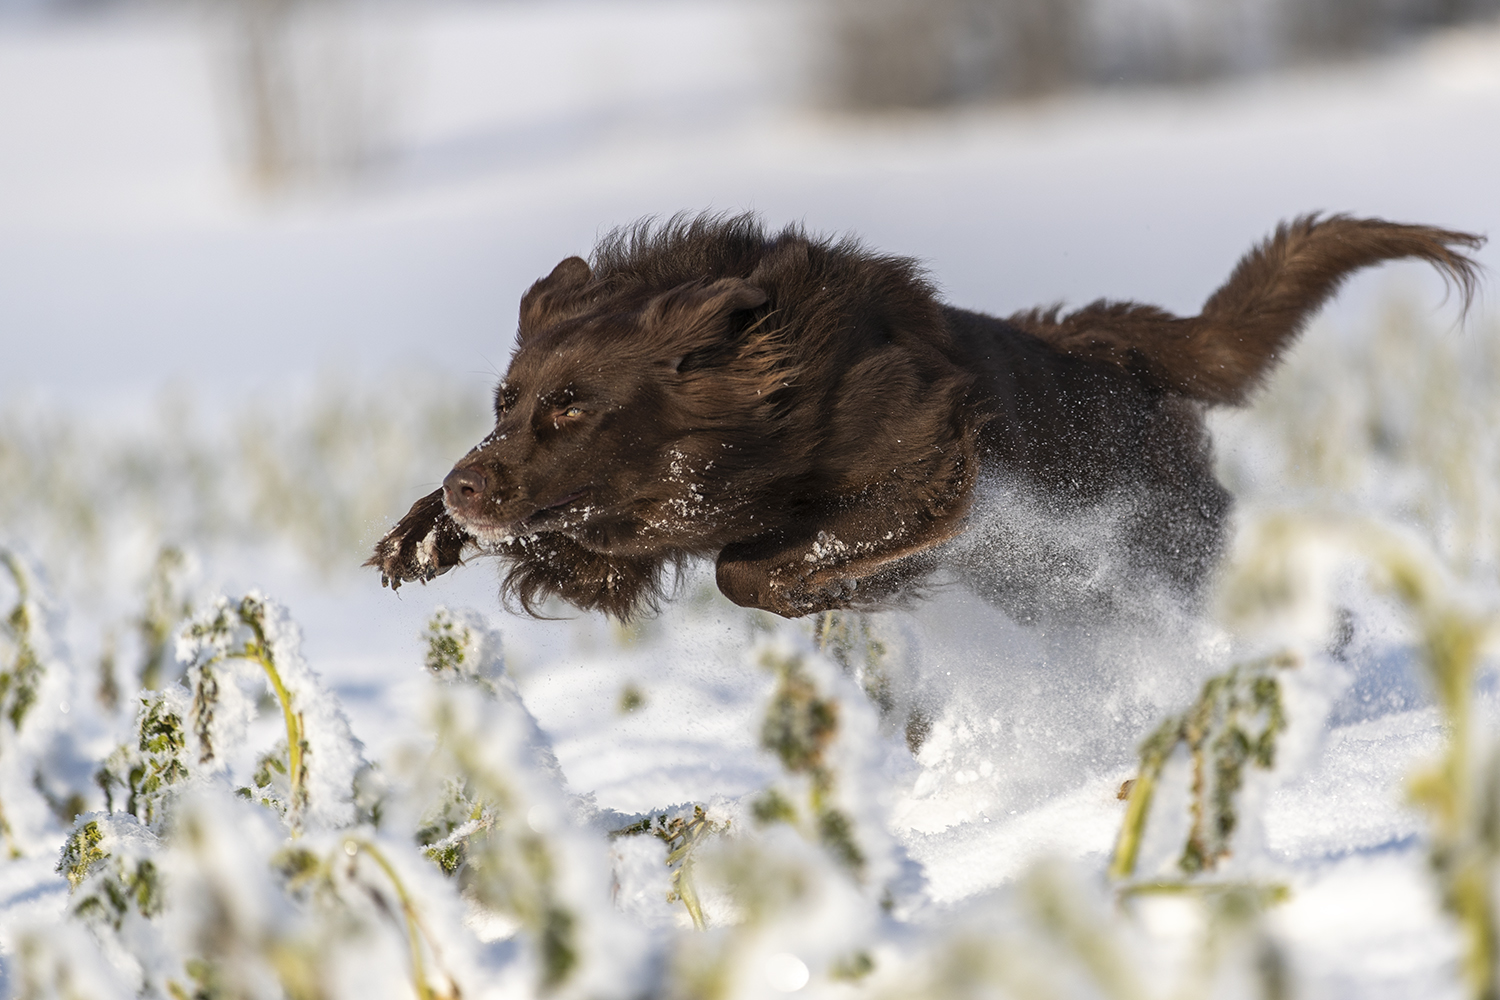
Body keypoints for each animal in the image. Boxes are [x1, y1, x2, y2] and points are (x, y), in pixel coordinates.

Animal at [369, 215, 1482, 617]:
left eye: (572, 408)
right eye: (508, 401)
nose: (468, 486)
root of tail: (1119, 352)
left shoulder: (925, 460)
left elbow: (748, 569)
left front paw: (839, 592)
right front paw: (417, 537)